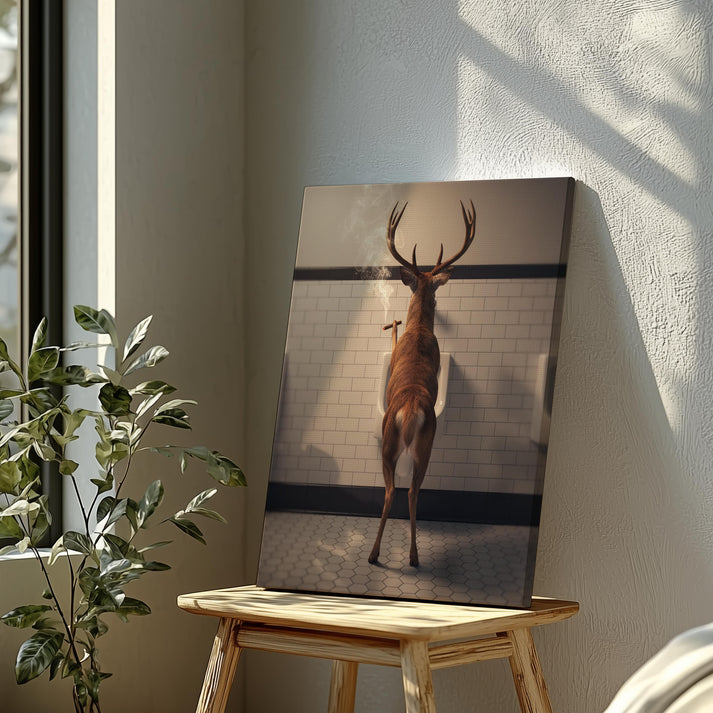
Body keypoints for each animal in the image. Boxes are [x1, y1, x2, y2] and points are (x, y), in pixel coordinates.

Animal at [368, 200, 476, 567]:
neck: (418, 329)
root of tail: (412, 407)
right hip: (423, 446)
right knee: (413, 490)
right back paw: (412, 556)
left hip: (391, 444)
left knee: (394, 491)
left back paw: (377, 554)